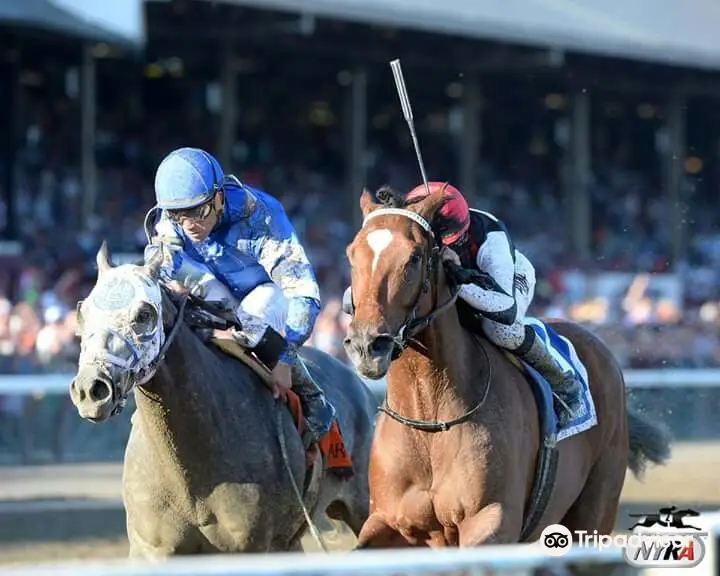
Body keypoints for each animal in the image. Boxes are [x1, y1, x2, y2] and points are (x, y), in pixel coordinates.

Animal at [344, 187, 668, 548]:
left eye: (414, 257)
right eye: (352, 255)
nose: (367, 346)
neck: (430, 420)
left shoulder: (493, 520)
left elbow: (505, 309)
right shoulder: (387, 520)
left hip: (594, 510)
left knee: (507, 326)